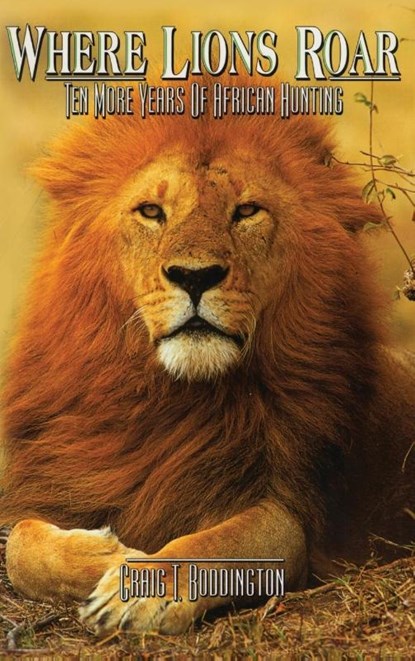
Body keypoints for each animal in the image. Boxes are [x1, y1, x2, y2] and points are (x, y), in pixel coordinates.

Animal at [1, 75, 414, 637]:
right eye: (152, 212)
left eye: (246, 211)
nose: (195, 277)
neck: (172, 396)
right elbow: (20, 545)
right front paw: (112, 555)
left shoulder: (285, 512)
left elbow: (219, 543)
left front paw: (141, 587)